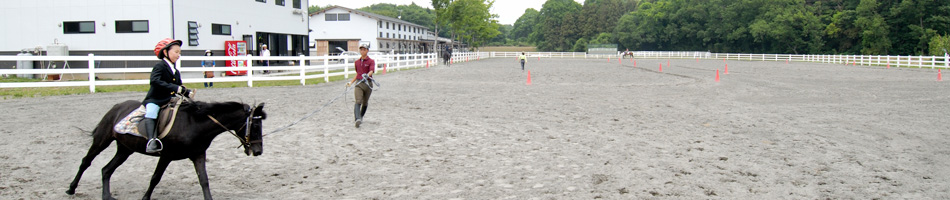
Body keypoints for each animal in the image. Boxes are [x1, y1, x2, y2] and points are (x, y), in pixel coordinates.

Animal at [67, 99, 268, 200]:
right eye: (255, 125)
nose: (258, 151)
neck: (194, 122)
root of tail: (116, 107)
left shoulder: (198, 155)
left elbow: (204, 181)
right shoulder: (166, 155)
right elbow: (155, 178)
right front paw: (145, 198)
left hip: (125, 149)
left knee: (106, 170)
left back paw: (107, 196)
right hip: (102, 140)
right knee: (86, 162)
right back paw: (71, 189)